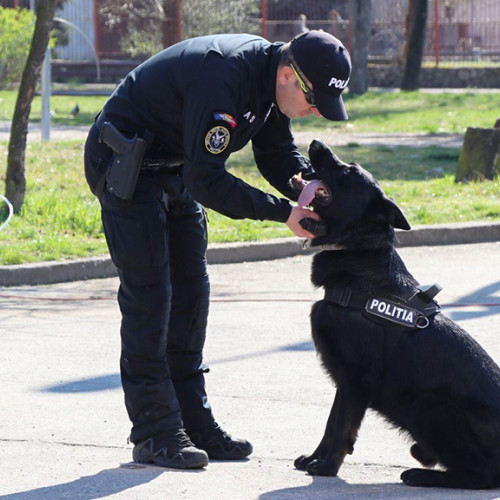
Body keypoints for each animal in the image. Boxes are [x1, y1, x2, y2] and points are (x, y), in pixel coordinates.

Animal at [292, 140, 500, 488]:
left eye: (349, 171)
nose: (314, 143)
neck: (358, 249)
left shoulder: (355, 378)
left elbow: (341, 426)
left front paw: (327, 467)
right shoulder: (344, 380)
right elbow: (332, 423)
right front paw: (315, 458)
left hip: (429, 404)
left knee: (485, 476)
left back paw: (422, 476)